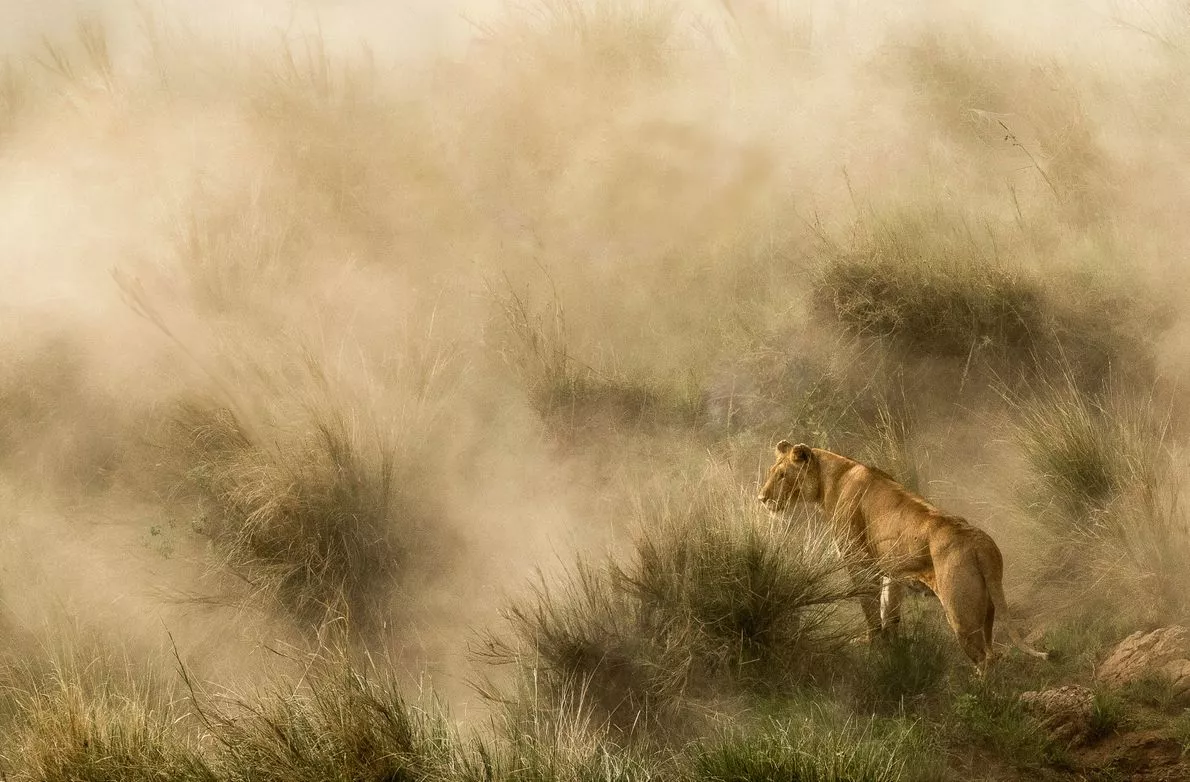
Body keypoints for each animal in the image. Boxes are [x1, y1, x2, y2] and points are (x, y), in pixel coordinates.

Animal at [758, 441, 1048, 671]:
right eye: (772, 472)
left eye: (782, 475)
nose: (762, 498)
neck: (831, 478)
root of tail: (980, 542)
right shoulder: (892, 572)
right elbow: (889, 611)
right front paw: (890, 648)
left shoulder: (860, 563)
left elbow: (870, 609)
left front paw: (873, 644)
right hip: (986, 607)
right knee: (991, 653)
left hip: (960, 611)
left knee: (983, 659)